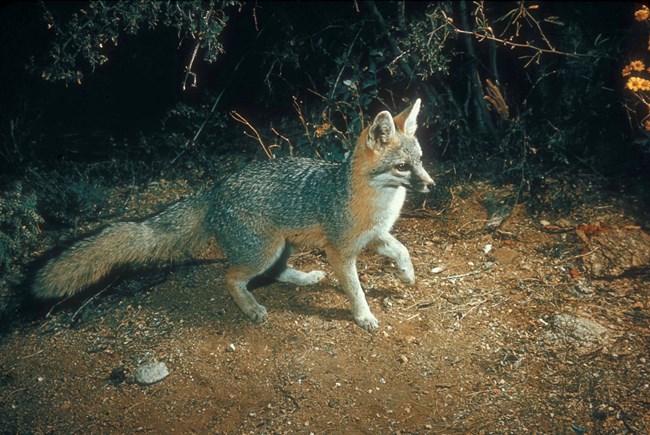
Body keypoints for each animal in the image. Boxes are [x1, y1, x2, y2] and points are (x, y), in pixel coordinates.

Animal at [33, 99, 432, 330]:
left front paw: (407, 275)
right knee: (231, 277)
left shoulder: (374, 236)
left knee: (275, 272)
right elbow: (355, 289)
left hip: (280, 245)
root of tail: (215, 190)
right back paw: (251, 308)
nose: (430, 185)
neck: (377, 201)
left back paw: (304, 279)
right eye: (401, 167)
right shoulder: (340, 251)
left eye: (421, 160)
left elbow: (401, 249)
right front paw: (363, 316)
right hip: (264, 249)